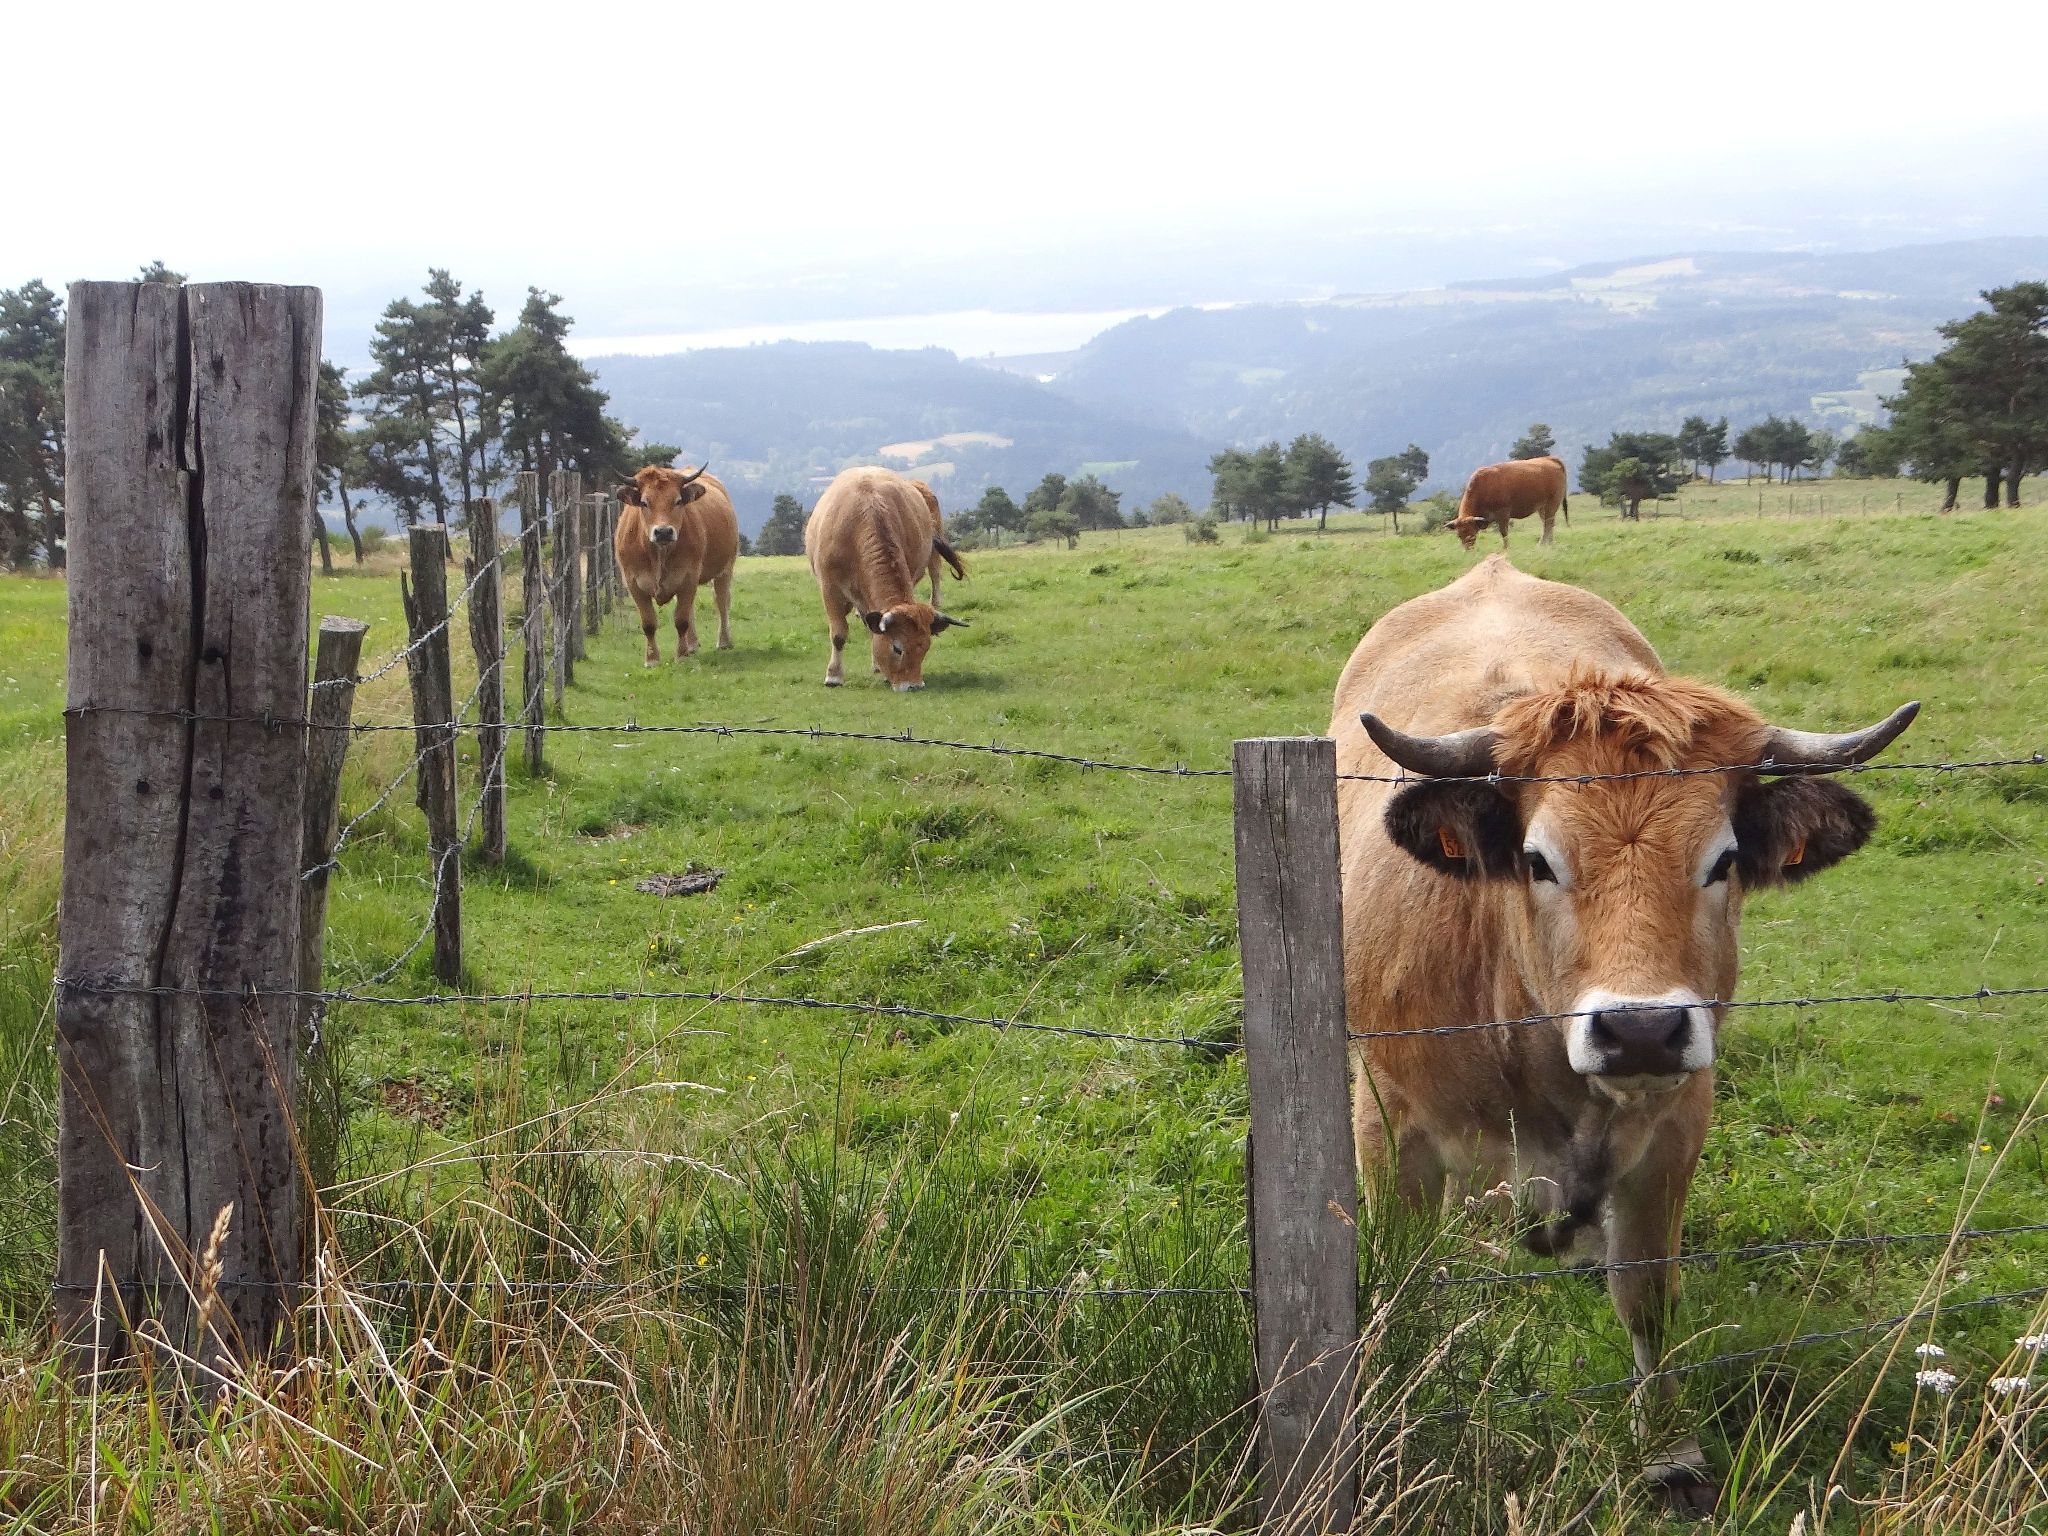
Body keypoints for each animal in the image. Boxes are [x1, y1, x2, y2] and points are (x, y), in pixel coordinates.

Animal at [613, 463, 740, 667]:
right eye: (644, 502)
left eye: (678, 501)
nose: (663, 531)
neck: (659, 555)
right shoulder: (633, 583)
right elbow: (648, 623)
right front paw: (652, 659)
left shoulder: (688, 577)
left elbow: (681, 620)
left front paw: (681, 656)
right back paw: (692, 644)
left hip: (726, 567)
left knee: (721, 601)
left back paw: (723, 641)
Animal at [805, 467, 968, 690]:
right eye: (897, 648)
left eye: (925, 648)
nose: (914, 685)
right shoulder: (829, 588)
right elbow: (839, 634)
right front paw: (834, 676)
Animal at [1330, 554, 1916, 1514]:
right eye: (1538, 860)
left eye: (1723, 859)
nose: (1641, 1031)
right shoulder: (1388, 1118)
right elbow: (1392, 1283)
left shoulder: (1675, 1125)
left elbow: (1646, 1294)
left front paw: (1669, 1450)